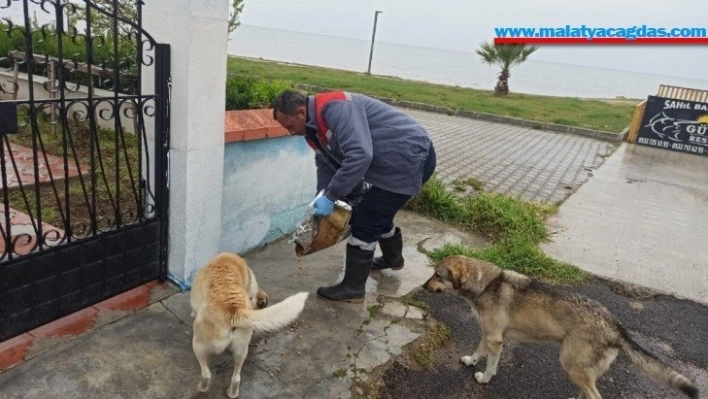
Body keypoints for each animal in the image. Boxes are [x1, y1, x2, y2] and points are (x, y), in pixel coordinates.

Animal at [189, 255, 308, 398]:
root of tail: (234, 311)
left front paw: (192, 314)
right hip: (241, 350)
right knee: (236, 378)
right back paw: (233, 393)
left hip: (198, 345)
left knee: (206, 374)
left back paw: (202, 387)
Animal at [424, 256, 700, 399]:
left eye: (438, 275)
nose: (424, 287)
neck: (486, 284)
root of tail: (616, 327)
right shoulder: (489, 335)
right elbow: (478, 351)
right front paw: (471, 361)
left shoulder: (495, 340)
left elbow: (490, 364)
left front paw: (484, 378)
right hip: (582, 370)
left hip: (571, 364)